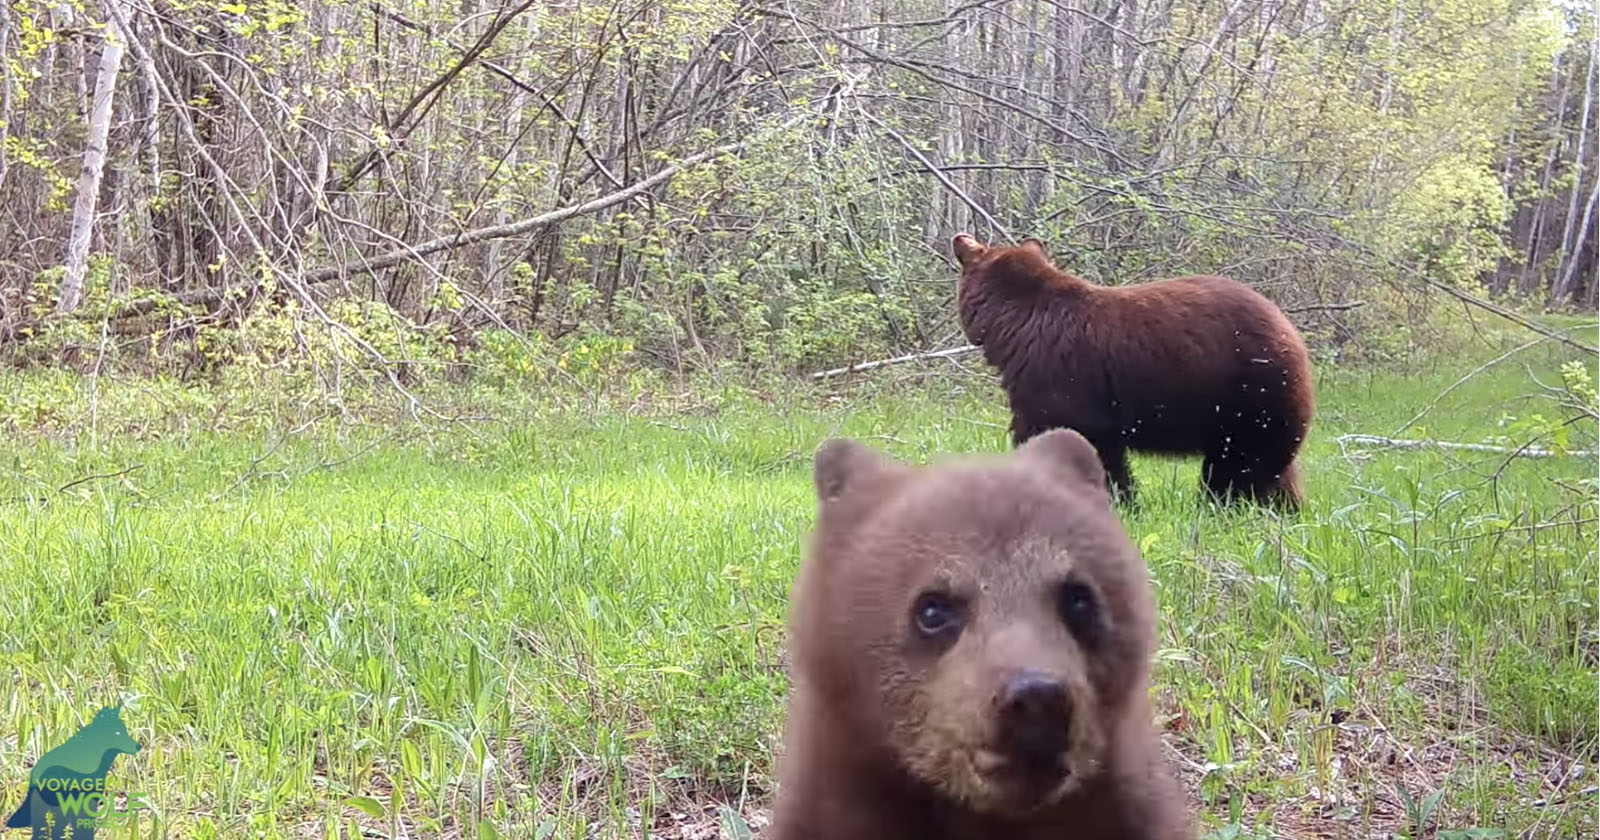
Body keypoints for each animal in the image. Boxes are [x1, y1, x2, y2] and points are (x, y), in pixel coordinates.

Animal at [947, 235, 1312, 512]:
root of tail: (1292, 335)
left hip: (1249, 396)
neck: (1014, 324)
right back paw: (1286, 507)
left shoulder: (1058, 374)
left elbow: (1074, 433)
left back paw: (1221, 504)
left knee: (1239, 464)